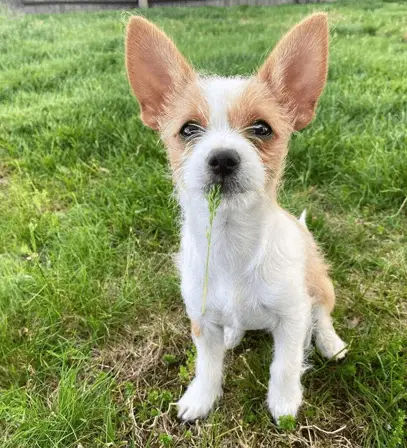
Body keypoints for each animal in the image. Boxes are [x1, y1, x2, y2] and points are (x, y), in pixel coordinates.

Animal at [125, 11, 348, 424]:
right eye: (188, 129)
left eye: (262, 128)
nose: (223, 159)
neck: (232, 243)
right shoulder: (200, 320)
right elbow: (207, 365)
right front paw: (201, 398)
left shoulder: (292, 317)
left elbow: (285, 363)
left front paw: (284, 403)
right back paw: (233, 333)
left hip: (320, 283)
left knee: (322, 313)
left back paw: (330, 342)